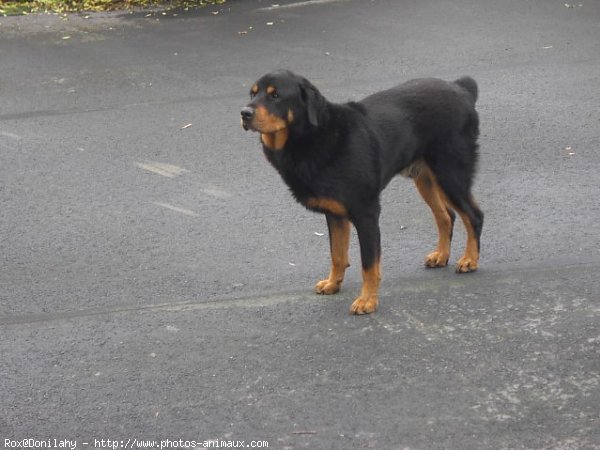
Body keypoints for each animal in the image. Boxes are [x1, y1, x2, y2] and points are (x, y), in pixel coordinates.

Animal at [240, 71, 482, 316]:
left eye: (275, 95)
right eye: (253, 94)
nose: (244, 113)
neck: (314, 137)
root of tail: (461, 89)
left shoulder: (366, 213)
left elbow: (369, 264)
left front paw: (367, 300)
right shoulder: (335, 214)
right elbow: (337, 254)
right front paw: (333, 284)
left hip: (450, 174)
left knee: (474, 216)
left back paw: (470, 260)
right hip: (426, 178)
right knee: (446, 216)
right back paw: (441, 255)